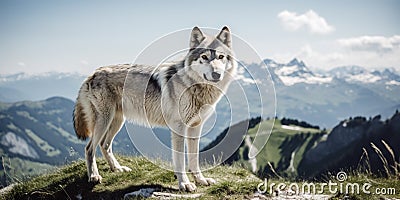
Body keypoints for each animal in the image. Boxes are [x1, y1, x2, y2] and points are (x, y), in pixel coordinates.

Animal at [72, 25, 238, 191]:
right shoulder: (179, 128)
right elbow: (180, 159)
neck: (194, 87)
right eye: (204, 57)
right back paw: (94, 176)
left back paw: (117, 169)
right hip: (104, 120)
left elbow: (193, 158)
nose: (216, 74)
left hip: (117, 121)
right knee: (89, 148)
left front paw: (200, 180)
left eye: (221, 57)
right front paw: (184, 184)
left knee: (104, 145)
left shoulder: (195, 127)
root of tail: (92, 74)